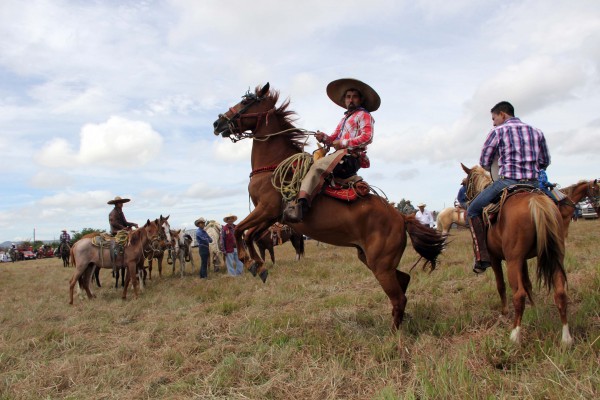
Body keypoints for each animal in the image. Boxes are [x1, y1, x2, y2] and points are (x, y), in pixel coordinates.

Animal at [214, 82, 446, 328]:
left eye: (246, 101)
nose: (218, 123)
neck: (273, 165)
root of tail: (401, 217)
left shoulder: (266, 209)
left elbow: (239, 230)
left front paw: (248, 261)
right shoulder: (272, 216)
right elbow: (249, 234)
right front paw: (258, 266)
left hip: (380, 265)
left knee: (398, 297)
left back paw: (395, 333)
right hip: (371, 259)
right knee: (403, 281)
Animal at [464, 164, 572, 346]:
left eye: (464, 183)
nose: (462, 201)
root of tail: (535, 201)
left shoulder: (496, 258)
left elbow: (501, 285)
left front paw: (504, 313)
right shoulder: (523, 260)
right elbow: (528, 283)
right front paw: (535, 308)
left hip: (513, 261)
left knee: (518, 295)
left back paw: (515, 335)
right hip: (556, 257)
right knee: (560, 292)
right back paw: (566, 338)